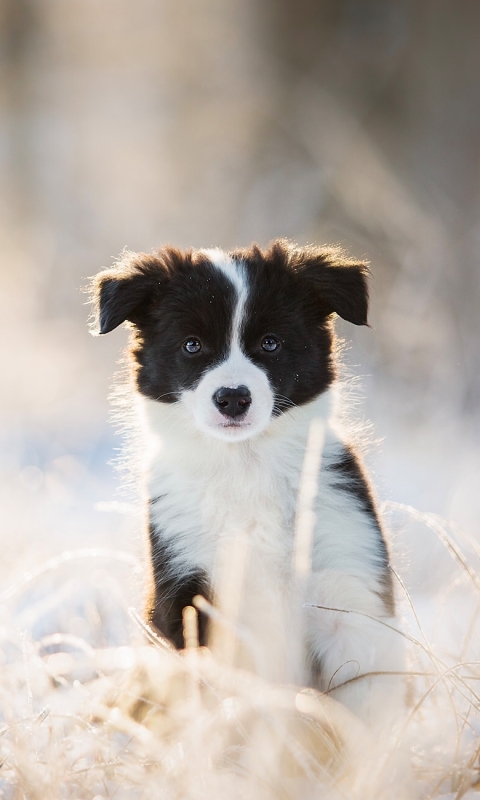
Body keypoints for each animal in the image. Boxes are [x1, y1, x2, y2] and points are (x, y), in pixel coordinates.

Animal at [91, 238, 404, 724]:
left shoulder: (350, 591)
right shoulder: (191, 594)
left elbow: (368, 709)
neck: (245, 465)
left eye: (271, 343)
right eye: (192, 345)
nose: (233, 398)